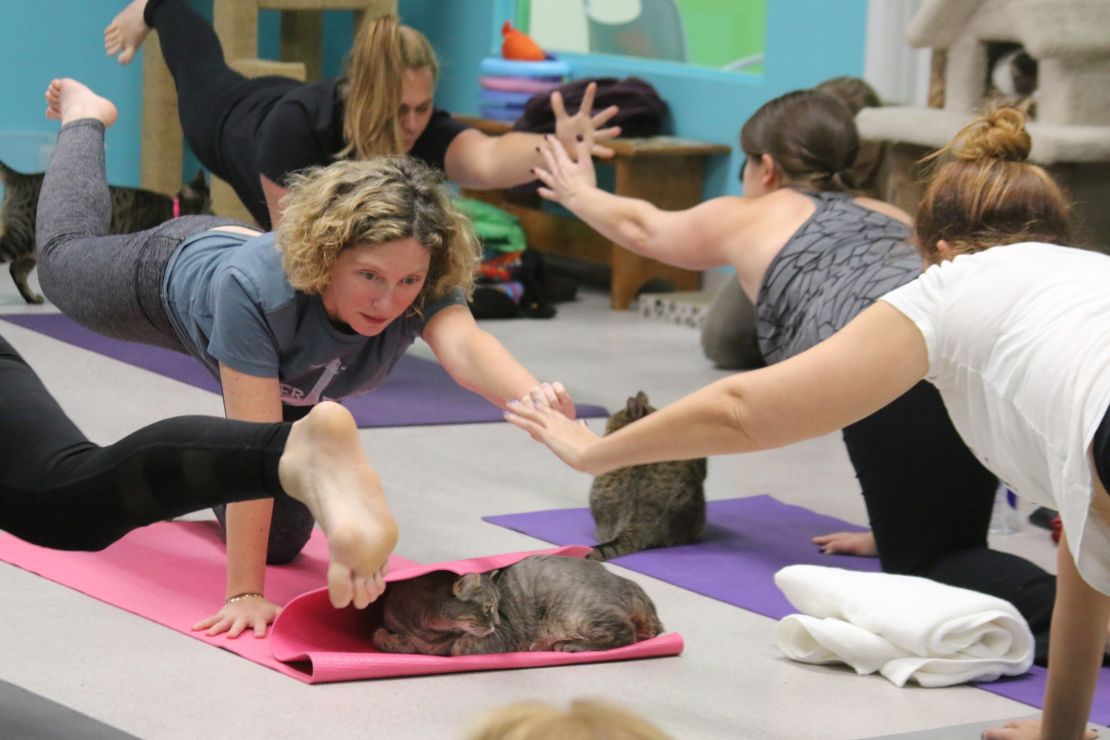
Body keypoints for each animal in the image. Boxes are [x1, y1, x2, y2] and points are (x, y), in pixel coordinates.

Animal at [372, 554, 666, 652]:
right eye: (488, 608)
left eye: (495, 608)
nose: (496, 621)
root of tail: (627, 582)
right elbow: (382, 637)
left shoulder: (502, 633)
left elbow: (457, 647)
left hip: (577, 612)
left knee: (625, 633)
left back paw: (569, 645)